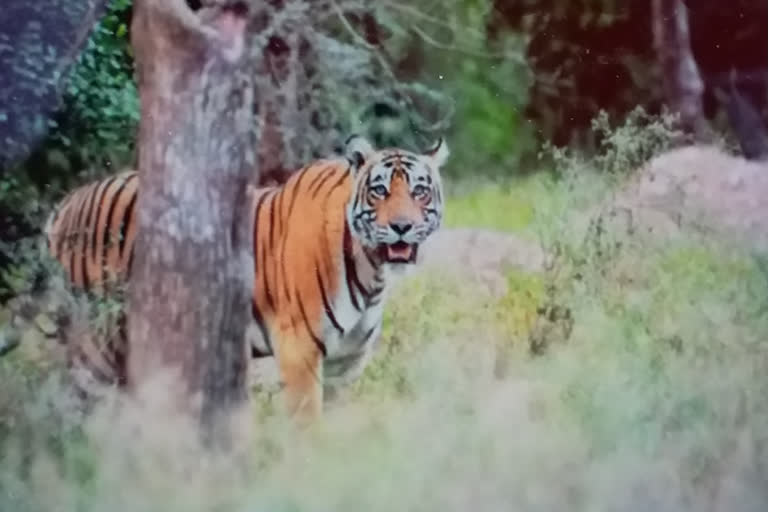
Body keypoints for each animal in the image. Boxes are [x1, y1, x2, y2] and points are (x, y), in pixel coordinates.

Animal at [40, 134, 450, 422]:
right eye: (380, 190)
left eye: (419, 191)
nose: (402, 227)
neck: (371, 274)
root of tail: (66, 204)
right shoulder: (300, 349)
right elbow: (308, 423)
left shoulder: (346, 363)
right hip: (96, 342)